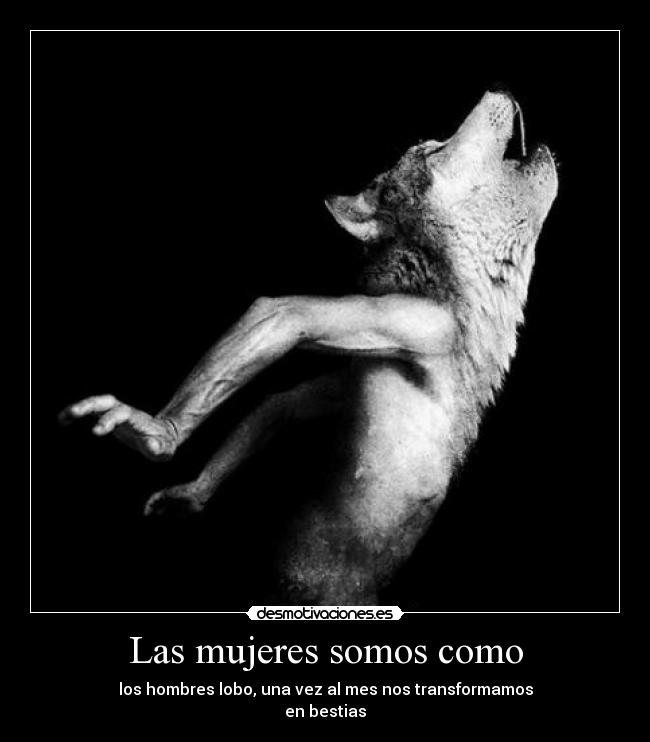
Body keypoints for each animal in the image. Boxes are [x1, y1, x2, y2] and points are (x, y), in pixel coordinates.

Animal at [60, 89, 557, 605]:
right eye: (434, 149)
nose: (497, 91)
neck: (462, 292)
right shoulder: (419, 323)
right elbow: (279, 313)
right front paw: (159, 432)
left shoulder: (348, 373)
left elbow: (285, 401)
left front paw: (190, 492)